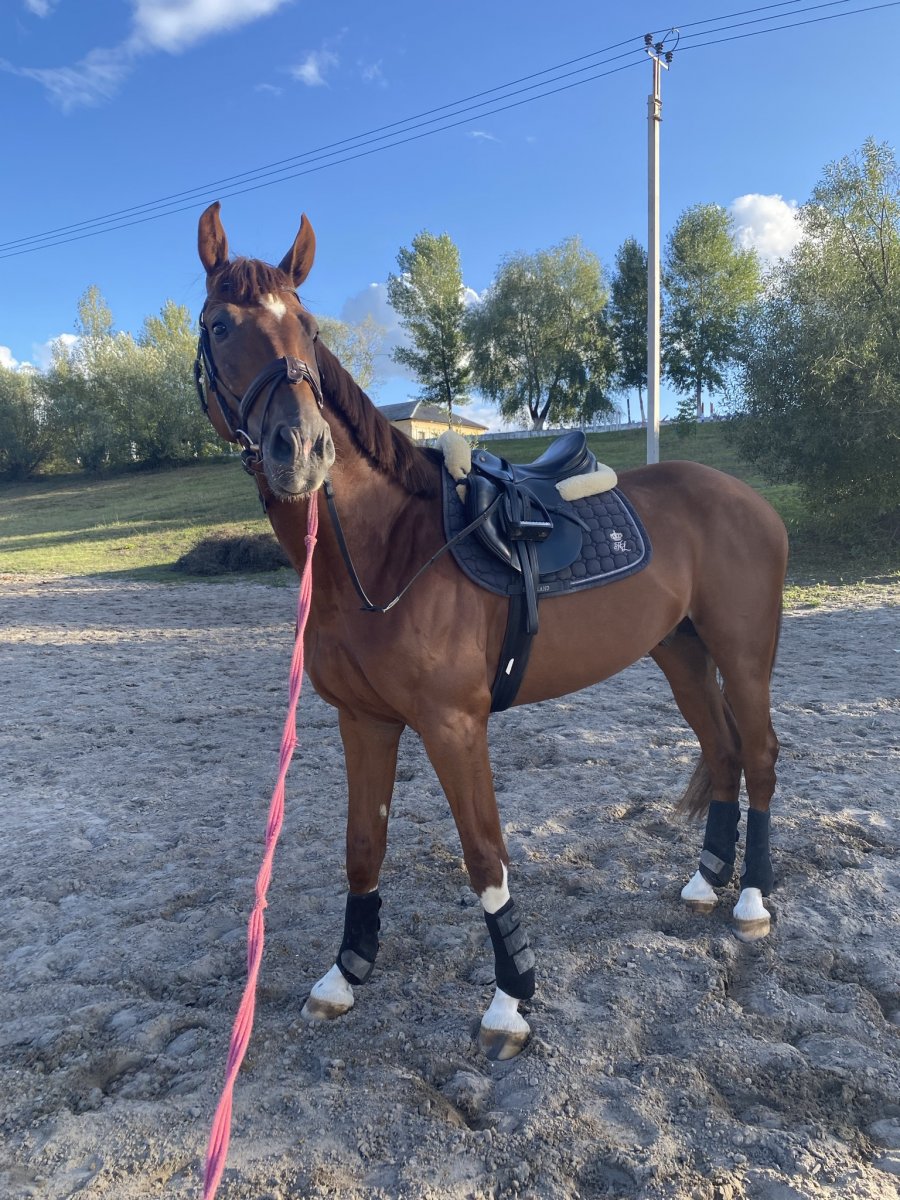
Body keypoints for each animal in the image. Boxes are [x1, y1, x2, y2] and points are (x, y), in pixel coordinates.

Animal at [194, 202, 788, 1061]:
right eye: (217, 325)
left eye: (306, 327)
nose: (302, 449)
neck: (389, 547)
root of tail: (748, 499)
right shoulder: (364, 722)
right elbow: (363, 847)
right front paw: (347, 973)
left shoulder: (453, 725)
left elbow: (485, 855)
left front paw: (511, 997)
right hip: (679, 654)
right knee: (724, 751)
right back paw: (708, 879)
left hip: (743, 657)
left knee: (762, 756)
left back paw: (751, 899)